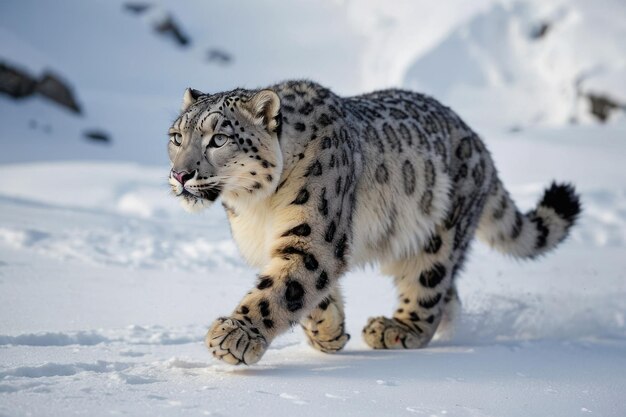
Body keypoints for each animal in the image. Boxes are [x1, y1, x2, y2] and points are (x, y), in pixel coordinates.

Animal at [167, 80, 580, 364]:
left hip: (437, 236)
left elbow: (283, 288)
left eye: (219, 139)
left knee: (429, 286)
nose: (180, 174)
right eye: (176, 136)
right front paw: (329, 333)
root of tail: (479, 144)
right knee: (450, 295)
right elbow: (308, 291)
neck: (256, 208)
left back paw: (397, 329)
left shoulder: (314, 236)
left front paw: (234, 335)